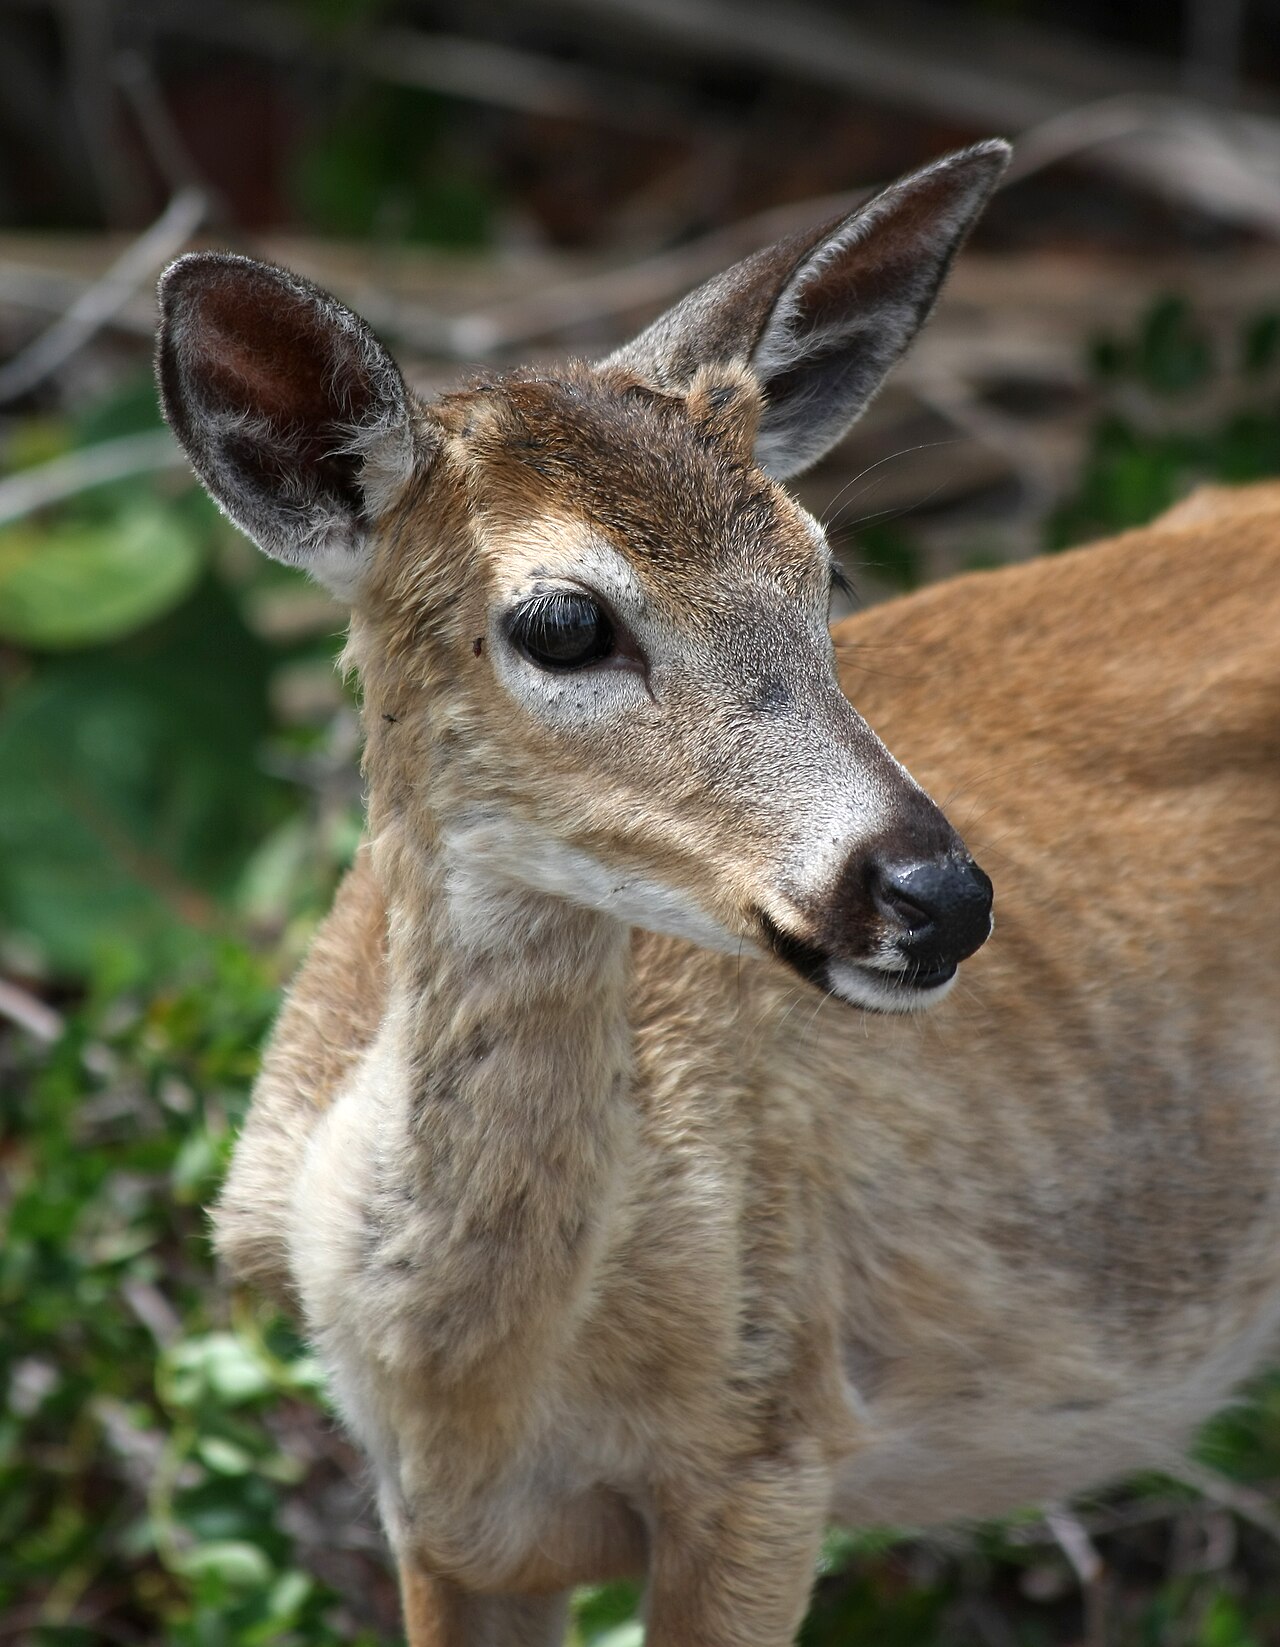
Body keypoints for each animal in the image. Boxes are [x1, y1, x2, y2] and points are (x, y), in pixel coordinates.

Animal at [155, 137, 1280, 1645]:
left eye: (824, 569)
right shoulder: (436, 1519)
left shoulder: (768, 1447)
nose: (938, 893)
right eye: (562, 621)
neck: (475, 1372)